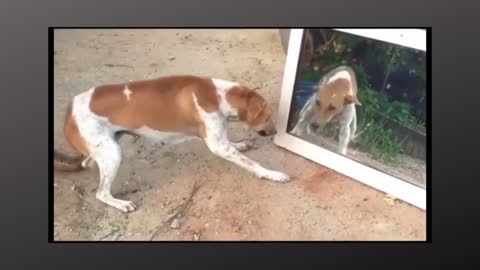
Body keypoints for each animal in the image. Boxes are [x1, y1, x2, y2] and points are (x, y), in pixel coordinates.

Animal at [54, 75, 290, 212]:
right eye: (268, 116)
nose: (275, 132)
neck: (217, 95)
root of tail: (69, 110)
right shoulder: (217, 145)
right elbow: (252, 164)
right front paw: (273, 174)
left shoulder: (220, 140)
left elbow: (234, 146)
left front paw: (240, 144)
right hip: (113, 153)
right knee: (101, 192)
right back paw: (120, 204)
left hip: (108, 144)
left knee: (87, 162)